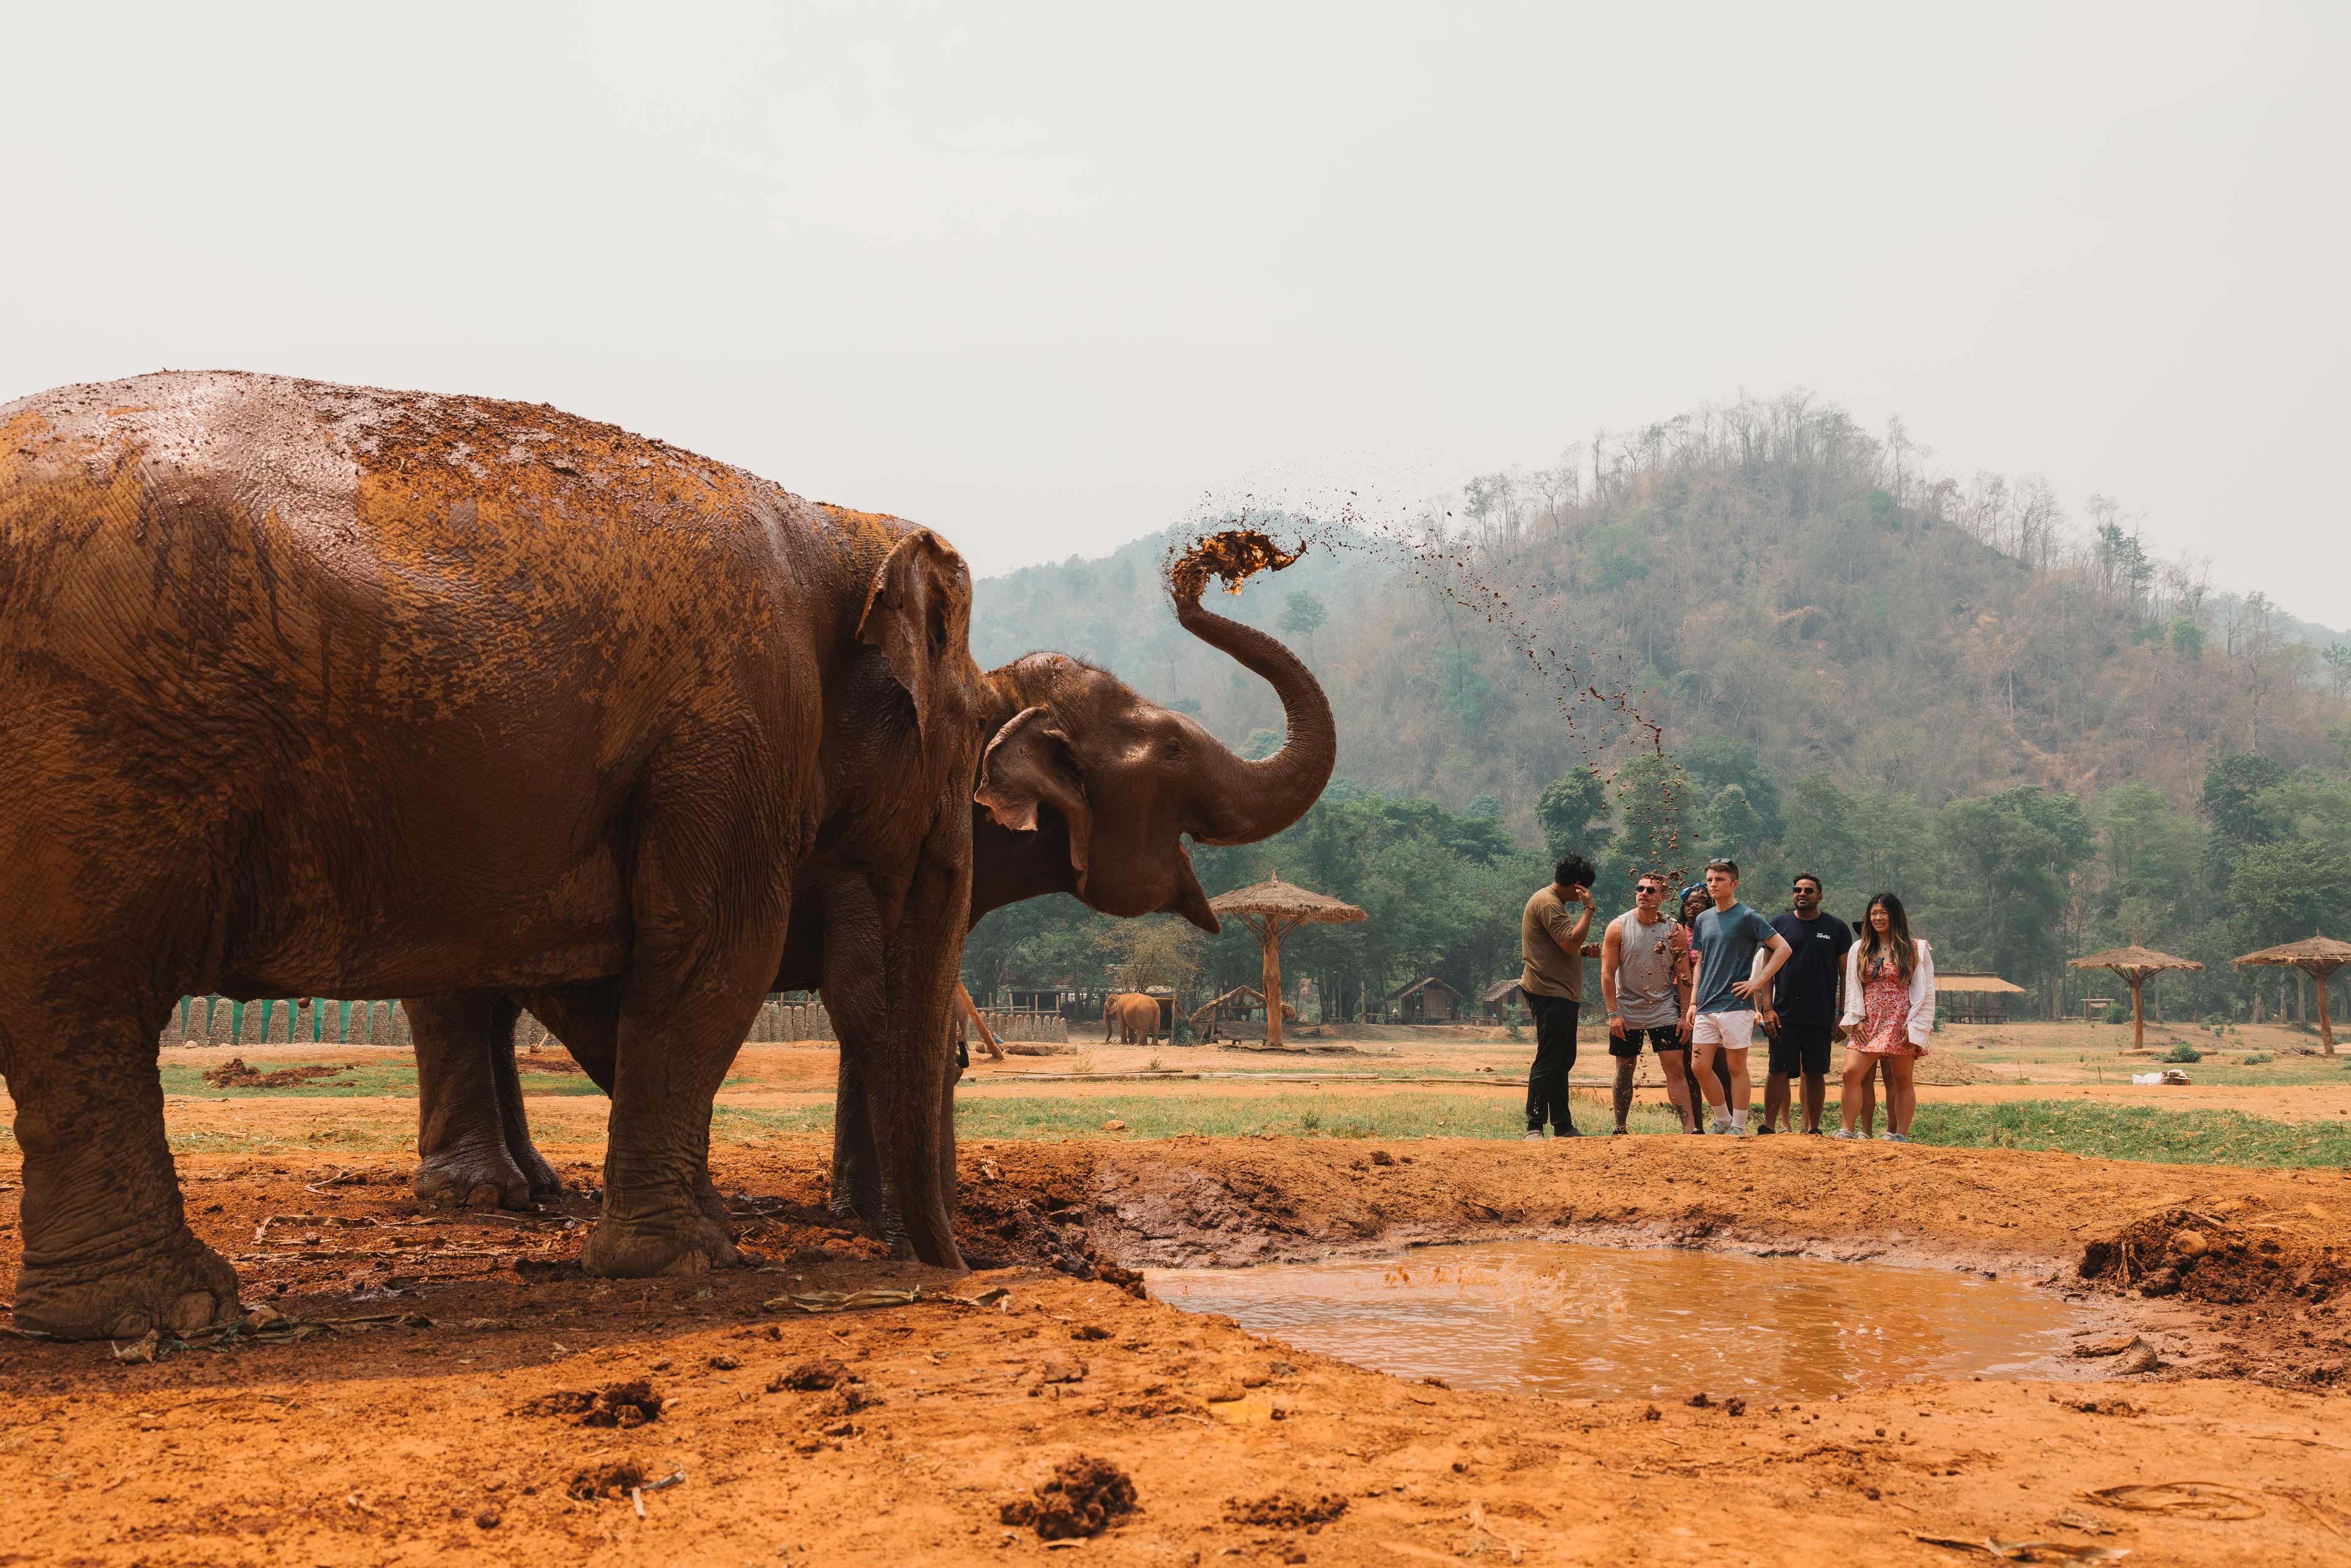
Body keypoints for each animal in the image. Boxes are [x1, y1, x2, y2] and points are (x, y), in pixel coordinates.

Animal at [0, 370, 998, 1338]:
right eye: (973, 731)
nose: (957, 1267)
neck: (834, 522)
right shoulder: (740, 720)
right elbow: (713, 955)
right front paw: (689, 1258)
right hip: (89, 754)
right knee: (82, 990)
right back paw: (177, 1309)